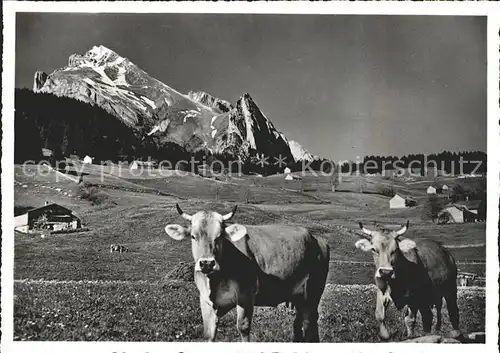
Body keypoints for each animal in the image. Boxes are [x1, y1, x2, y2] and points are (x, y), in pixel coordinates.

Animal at [164, 204, 330, 340]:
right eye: (193, 236)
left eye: (219, 236)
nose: (207, 263)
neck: (215, 281)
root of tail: (315, 237)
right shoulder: (205, 301)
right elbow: (209, 334)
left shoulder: (246, 297)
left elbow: (243, 328)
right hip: (298, 295)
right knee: (298, 322)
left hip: (314, 291)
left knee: (309, 321)